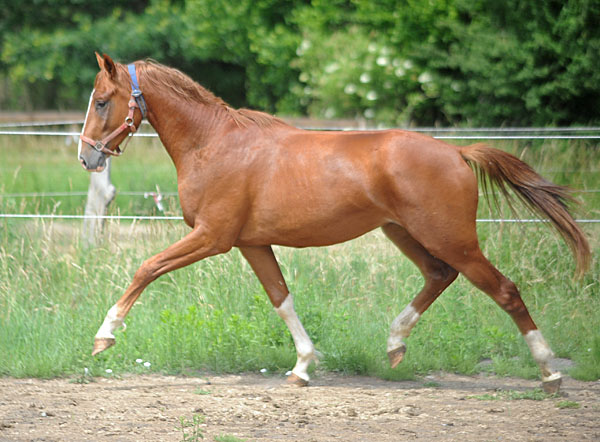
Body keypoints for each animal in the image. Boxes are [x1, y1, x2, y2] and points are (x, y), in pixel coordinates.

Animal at [77, 53, 588, 392]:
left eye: (102, 101)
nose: (86, 157)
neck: (214, 144)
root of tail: (458, 153)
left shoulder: (212, 237)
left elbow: (147, 267)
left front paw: (103, 337)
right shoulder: (250, 243)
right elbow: (281, 298)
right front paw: (302, 367)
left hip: (451, 237)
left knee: (504, 290)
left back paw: (550, 372)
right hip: (405, 233)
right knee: (439, 275)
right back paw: (395, 344)